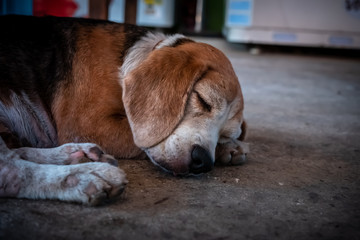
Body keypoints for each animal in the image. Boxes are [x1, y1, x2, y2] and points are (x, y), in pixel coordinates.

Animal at [0, 15, 249, 205]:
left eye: (225, 133)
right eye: (202, 100)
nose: (203, 161)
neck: (125, 63)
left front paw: (229, 147)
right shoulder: (86, 124)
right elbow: (137, 138)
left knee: (17, 152)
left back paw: (78, 155)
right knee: (10, 167)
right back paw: (87, 176)